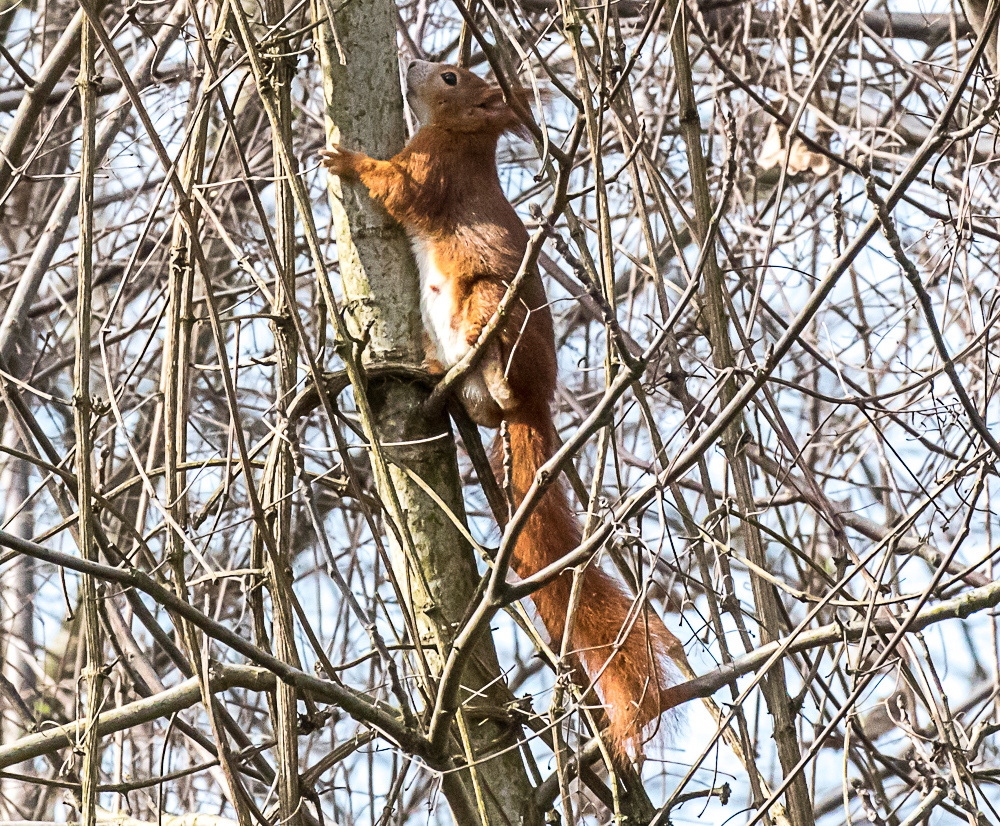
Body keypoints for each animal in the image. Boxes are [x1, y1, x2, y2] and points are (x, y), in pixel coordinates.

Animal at [320, 59, 688, 752]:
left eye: (450, 76)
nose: (412, 64)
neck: (467, 140)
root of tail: (536, 406)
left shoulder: (430, 172)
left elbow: (396, 189)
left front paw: (346, 159)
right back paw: (437, 371)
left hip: (495, 302)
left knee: (498, 370)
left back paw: (473, 353)